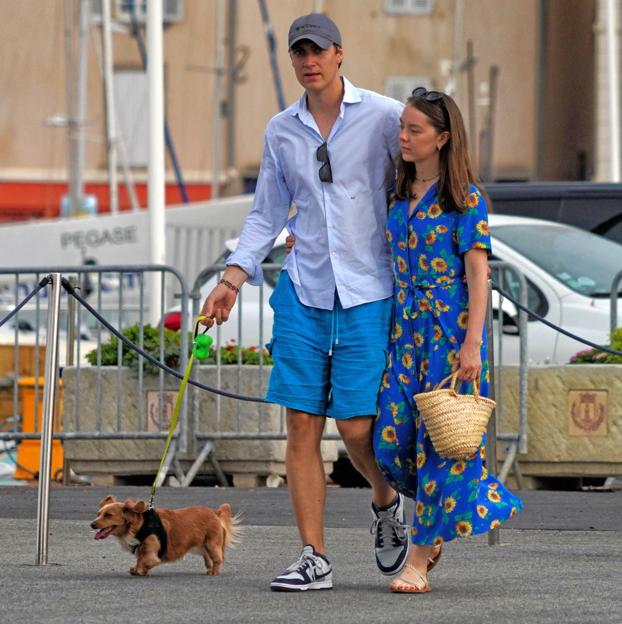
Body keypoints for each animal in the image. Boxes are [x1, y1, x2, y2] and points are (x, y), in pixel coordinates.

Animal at [91, 494, 240, 576]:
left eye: (108, 515)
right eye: (98, 514)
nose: (91, 524)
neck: (139, 525)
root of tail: (215, 513)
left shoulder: (152, 552)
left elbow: (147, 561)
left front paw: (140, 570)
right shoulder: (142, 549)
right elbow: (140, 559)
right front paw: (137, 569)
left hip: (212, 544)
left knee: (218, 559)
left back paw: (214, 571)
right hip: (205, 546)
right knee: (208, 559)